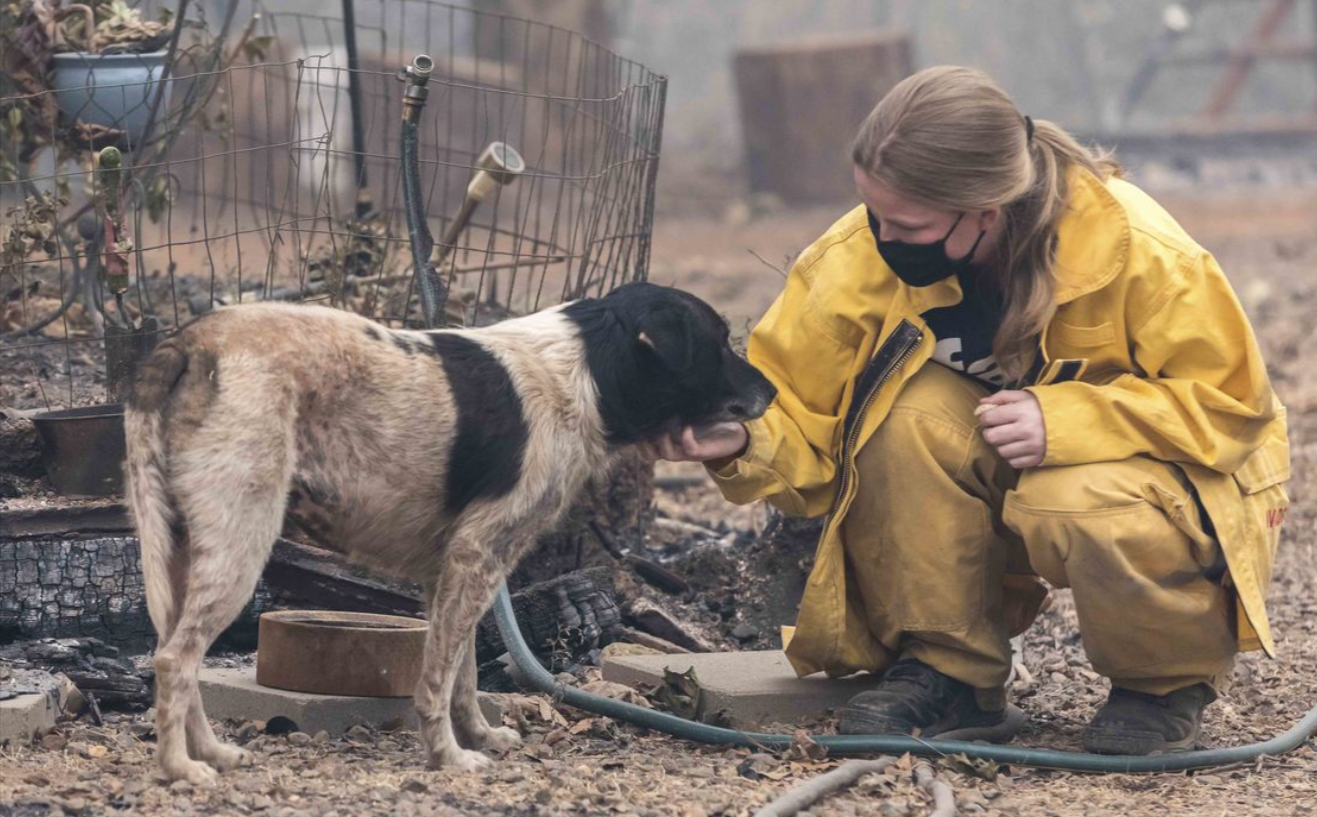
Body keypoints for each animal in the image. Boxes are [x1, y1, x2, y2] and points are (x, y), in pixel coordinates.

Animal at [123, 281, 774, 785]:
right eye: (718, 342)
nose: (772, 391)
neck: (586, 372)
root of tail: (194, 340)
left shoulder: (454, 572)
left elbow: (463, 669)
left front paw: (478, 736)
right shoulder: (478, 557)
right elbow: (437, 678)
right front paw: (448, 757)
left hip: (183, 549)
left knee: (177, 657)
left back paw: (210, 751)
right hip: (241, 545)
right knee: (174, 660)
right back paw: (180, 768)